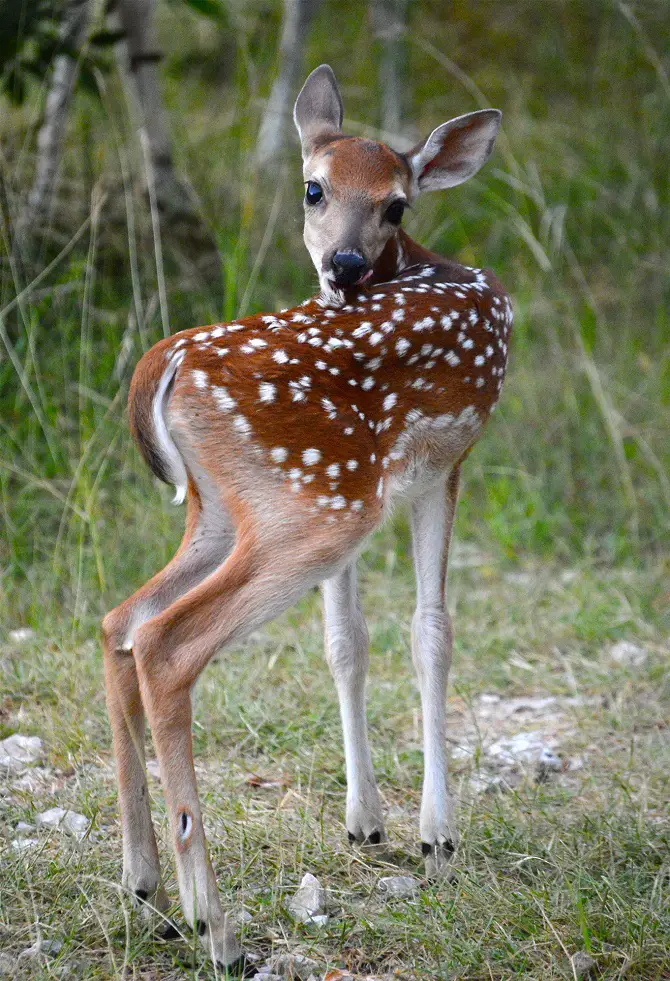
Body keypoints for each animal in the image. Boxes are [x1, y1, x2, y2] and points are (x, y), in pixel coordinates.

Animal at [103, 63, 516, 972]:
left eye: (396, 204)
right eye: (313, 188)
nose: (345, 264)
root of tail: (167, 359)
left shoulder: (376, 482)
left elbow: (346, 642)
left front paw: (367, 822)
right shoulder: (445, 461)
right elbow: (431, 630)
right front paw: (438, 836)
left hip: (241, 506)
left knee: (122, 619)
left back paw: (144, 890)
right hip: (315, 510)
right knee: (165, 643)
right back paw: (214, 926)